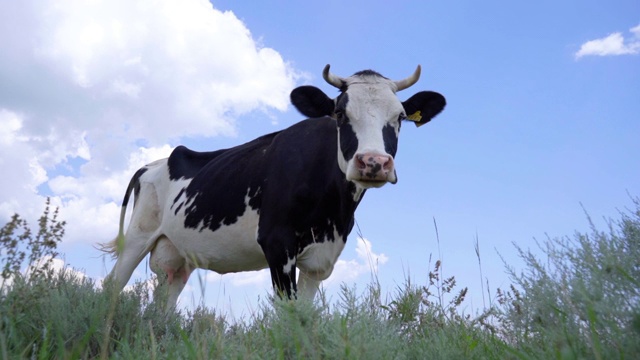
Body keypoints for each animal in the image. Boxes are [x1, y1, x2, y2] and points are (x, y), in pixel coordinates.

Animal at [102, 64, 448, 310]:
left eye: (400, 117)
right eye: (339, 113)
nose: (374, 162)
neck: (332, 211)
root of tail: (155, 162)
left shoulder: (322, 258)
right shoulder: (277, 244)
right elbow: (287, 314)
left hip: (177, 255)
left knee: (163, 304)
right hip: (137, 236)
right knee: (113, 284)